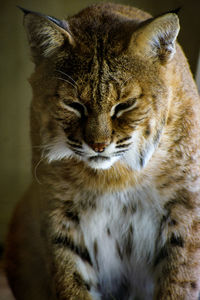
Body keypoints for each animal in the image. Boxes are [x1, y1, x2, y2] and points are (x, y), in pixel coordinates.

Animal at [3, 2, 200, 300]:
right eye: (73, 105)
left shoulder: (185, 207)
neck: (116, 176)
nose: (97, 145)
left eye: (125, 105)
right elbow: (70, 279)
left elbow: (180, 283)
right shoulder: (59, 210)